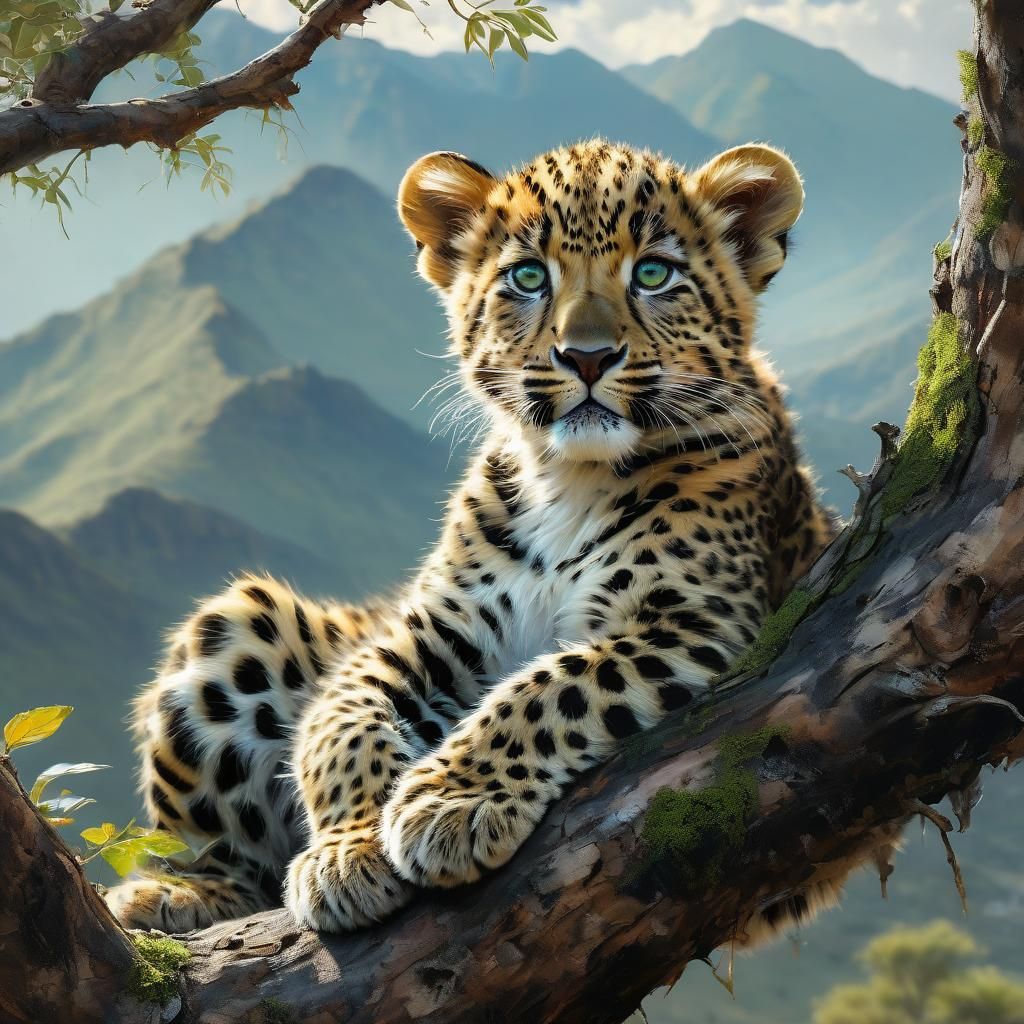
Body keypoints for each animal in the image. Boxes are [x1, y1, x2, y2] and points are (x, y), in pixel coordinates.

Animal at [105, 138, 836, 937]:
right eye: (527, 277)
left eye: (653, 274)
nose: (587, 356)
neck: (567, 480)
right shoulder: (425, 633)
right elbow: (341, 722)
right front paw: (347, 849)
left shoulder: (697, 620)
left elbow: (554, 686)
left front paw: (452, 803)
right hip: (234, 623)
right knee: (240, 864)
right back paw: (176, 895)